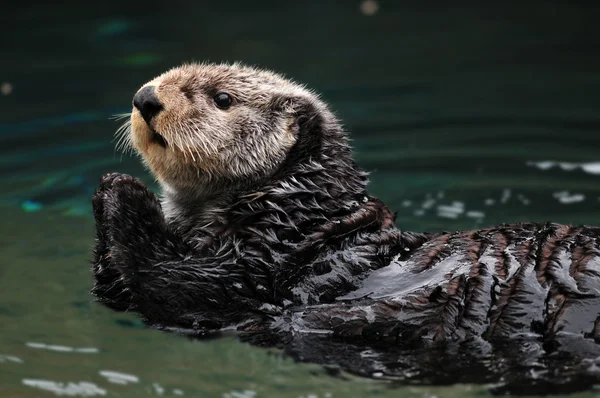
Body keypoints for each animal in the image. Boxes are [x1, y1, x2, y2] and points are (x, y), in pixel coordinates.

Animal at [91, 63, 600, 394]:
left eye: (223, 99)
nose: (145, 98)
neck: (305, 209)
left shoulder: (266, 269)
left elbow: (191, 289)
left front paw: (124, 190)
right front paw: (106, 191)